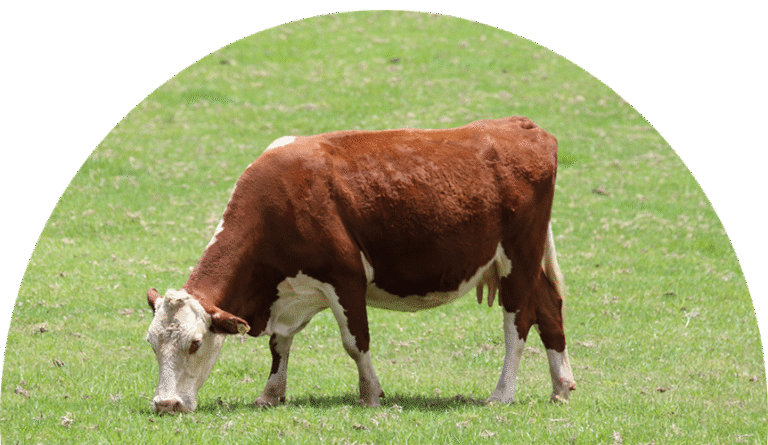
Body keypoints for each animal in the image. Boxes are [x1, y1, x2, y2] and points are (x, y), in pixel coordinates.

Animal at [145, 116, 576, 414]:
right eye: (151, 343)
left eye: (194, 343)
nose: (166, 405)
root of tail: (518, 125)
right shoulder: (291, 292)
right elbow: (279, 343)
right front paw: (271, 394)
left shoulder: (345, 278)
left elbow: (355, 343)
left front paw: (371, 395)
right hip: (526, 260)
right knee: (549, 309)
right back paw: (561, 386)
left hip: (518, 257)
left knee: (518, 322)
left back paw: (501, 394)